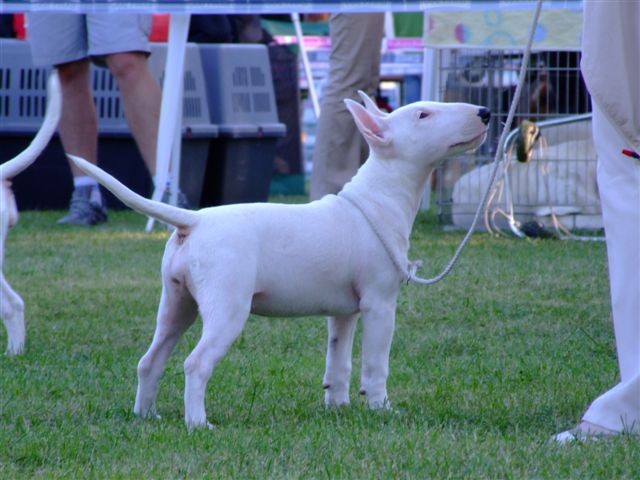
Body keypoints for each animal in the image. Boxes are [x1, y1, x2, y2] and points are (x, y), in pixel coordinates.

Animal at [69, 91, 490, 428]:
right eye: (423, 115)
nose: (486, 112)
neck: (376, 199)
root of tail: (196, 220)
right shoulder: (379, 303)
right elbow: (375, 364)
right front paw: (381, 409)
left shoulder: (344, 311)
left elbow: (338, 361)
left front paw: (338, 406)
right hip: (228, 305)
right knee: (195, 363)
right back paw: (199, 423)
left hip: (177, 302)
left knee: (150, 359)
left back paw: (146, 416)